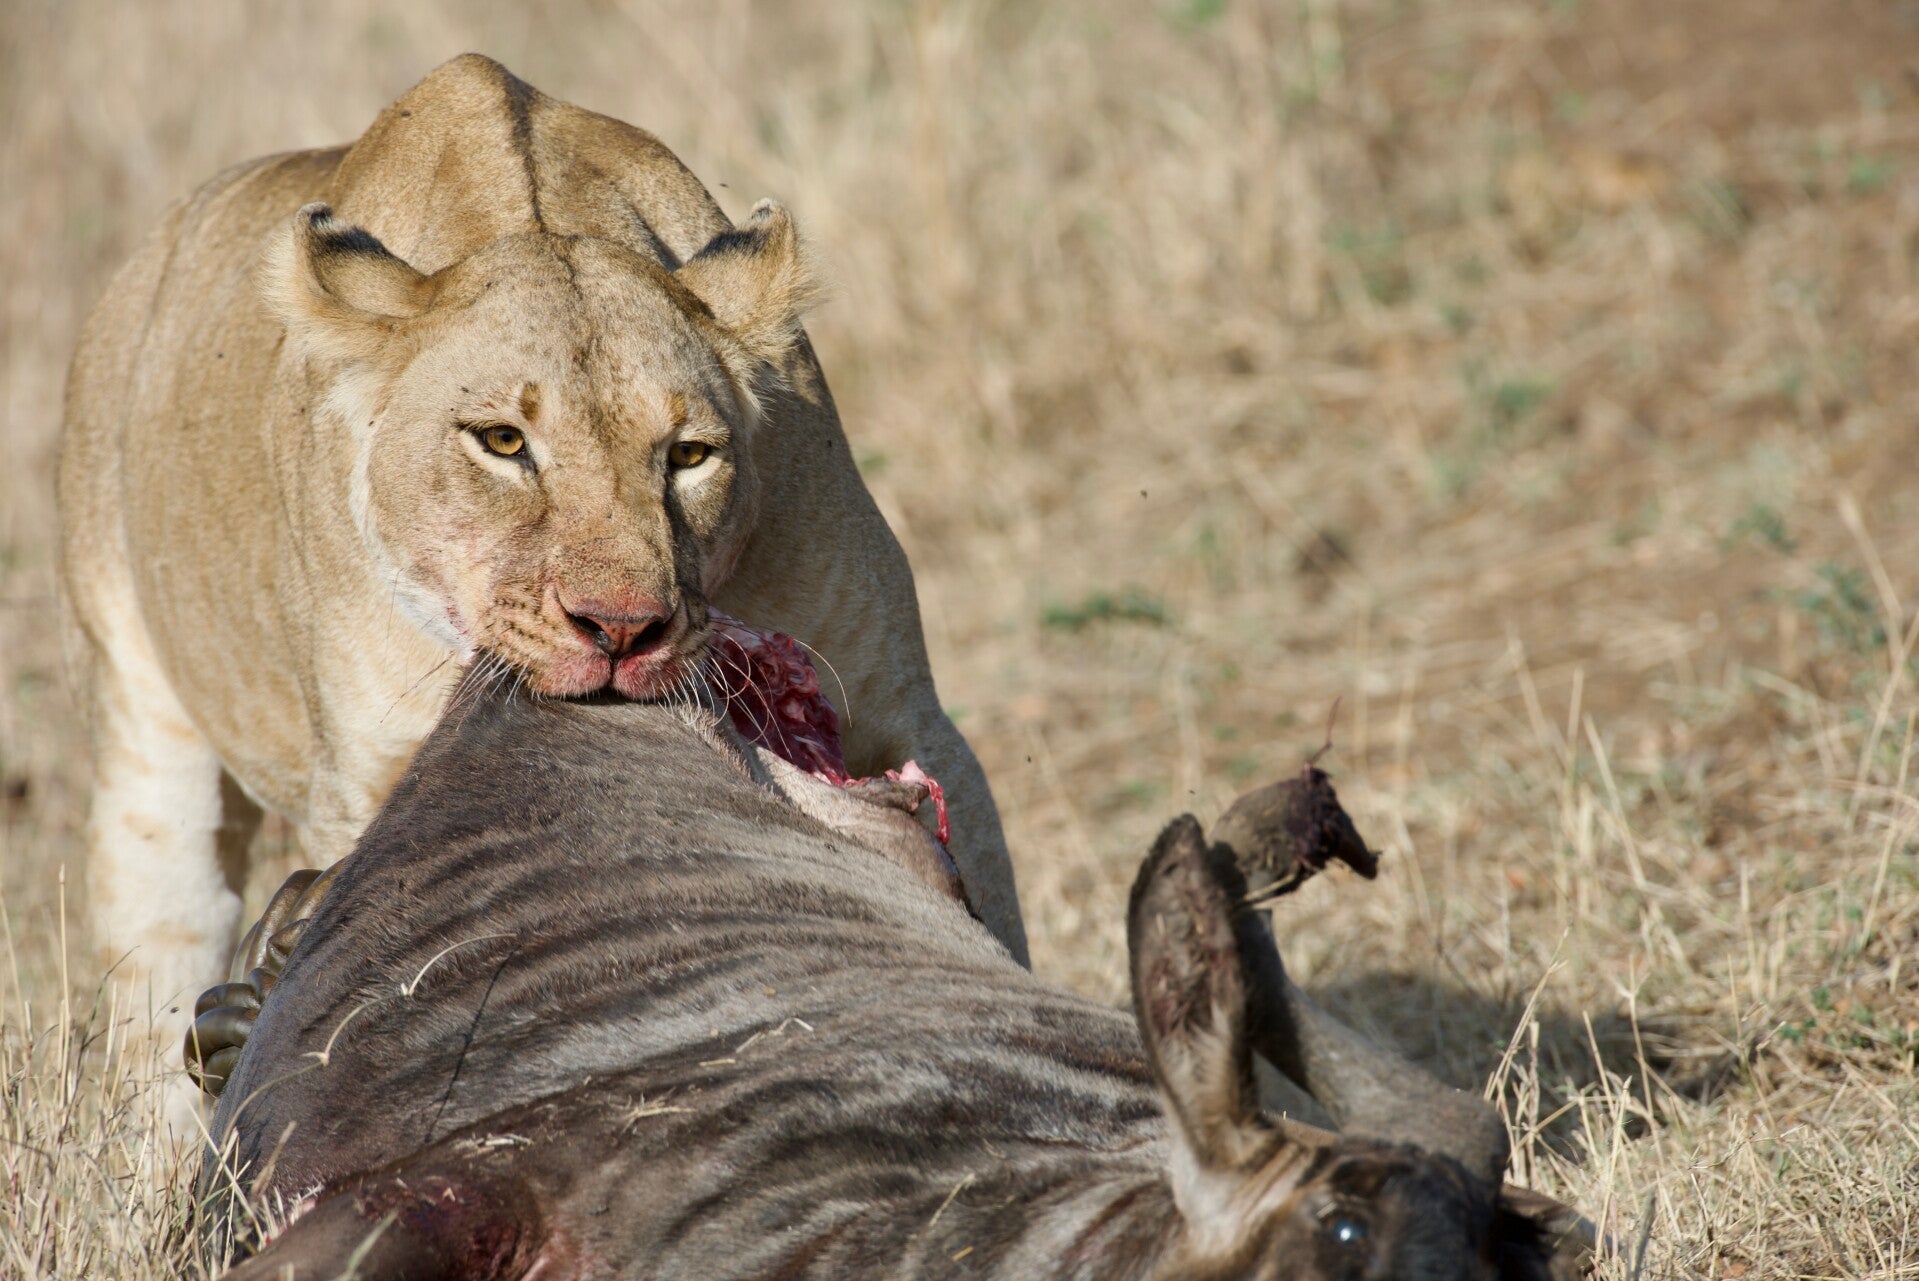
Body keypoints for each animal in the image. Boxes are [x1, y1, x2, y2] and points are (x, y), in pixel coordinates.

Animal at [58, 53, 1028, 1034]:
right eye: (502, 441)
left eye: (688, 455)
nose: (623, 629)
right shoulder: (369, 780)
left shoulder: (910, 716)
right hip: (147, 752)